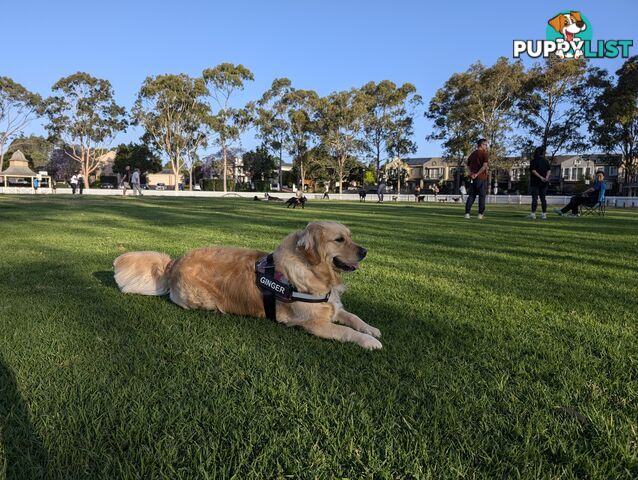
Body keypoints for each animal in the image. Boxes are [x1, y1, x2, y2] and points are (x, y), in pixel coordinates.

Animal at [113, 221, 382, 348]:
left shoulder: (333, 306)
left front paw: (371, 329)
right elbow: (346, 331)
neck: (315, 271)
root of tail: (175, 262)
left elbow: (354, 317)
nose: (365, 251)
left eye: (350, 236)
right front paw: (369, 342)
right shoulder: (314, 323)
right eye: (339, 240)